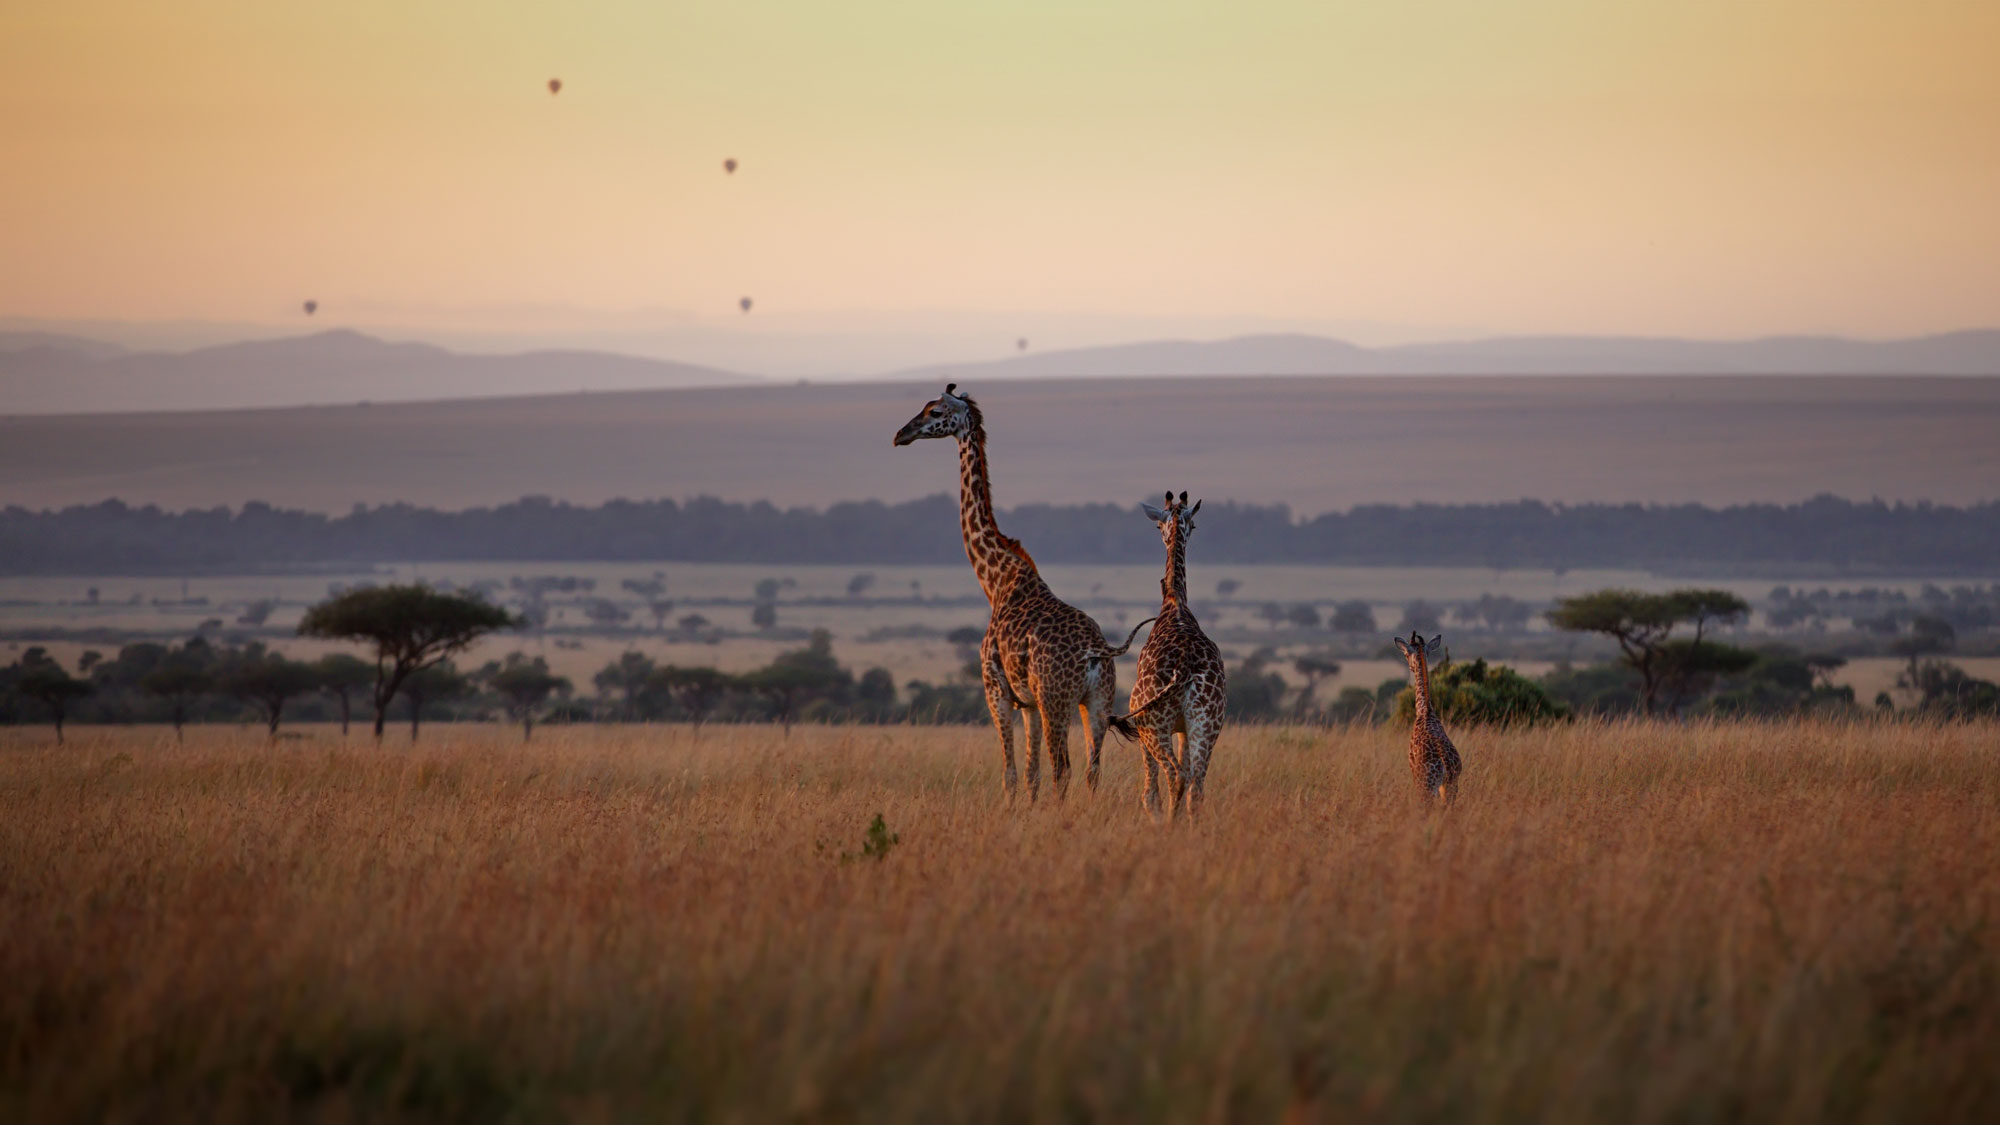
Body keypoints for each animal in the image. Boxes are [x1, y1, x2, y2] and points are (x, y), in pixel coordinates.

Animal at [893, 384, 1151, 801]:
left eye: (934, 412)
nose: (901, 434)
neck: (996, 580)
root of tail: (1096, 651)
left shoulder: (996, 690)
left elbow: (1011, 773)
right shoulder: (1027, 702)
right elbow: (1032, 774)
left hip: (1056, 700)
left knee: (1064, 768)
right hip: (1095, 701)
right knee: (1092, 770)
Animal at [1109, 491, 1228, 818]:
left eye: (1156, 525)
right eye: (1193, 524)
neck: (1174, 600)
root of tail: (1184, 669)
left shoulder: (1144, 728)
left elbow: (1150, 790)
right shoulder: (1186, 728)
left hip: (1153, 726)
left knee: (1173, 776)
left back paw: (1168, 823)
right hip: (1207, 723)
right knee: (1195, 785)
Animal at [1396, 630, 1463, 806]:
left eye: (1406, 654)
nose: (1410, 667)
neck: (1425, 711)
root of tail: (1446, 763)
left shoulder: (1413, 772)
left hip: (1427, 786)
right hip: (1451, 785)